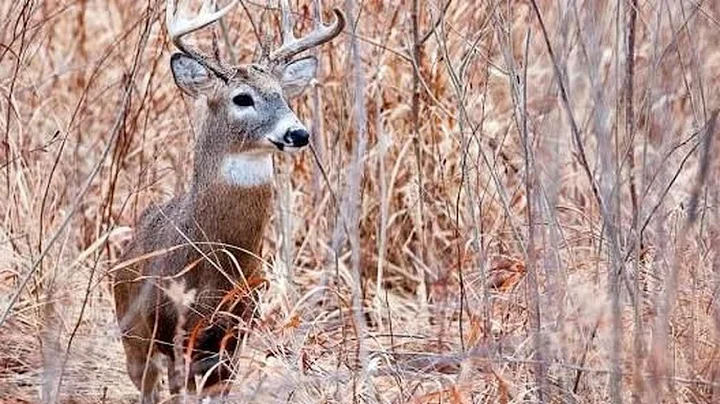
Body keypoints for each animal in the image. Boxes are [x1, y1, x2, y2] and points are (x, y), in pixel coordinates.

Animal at [112, 0, 344, 402]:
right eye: (242, 98)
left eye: (282, 95)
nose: (298, 133)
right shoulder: (170, 329)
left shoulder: (235, 331)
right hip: (132, 335)